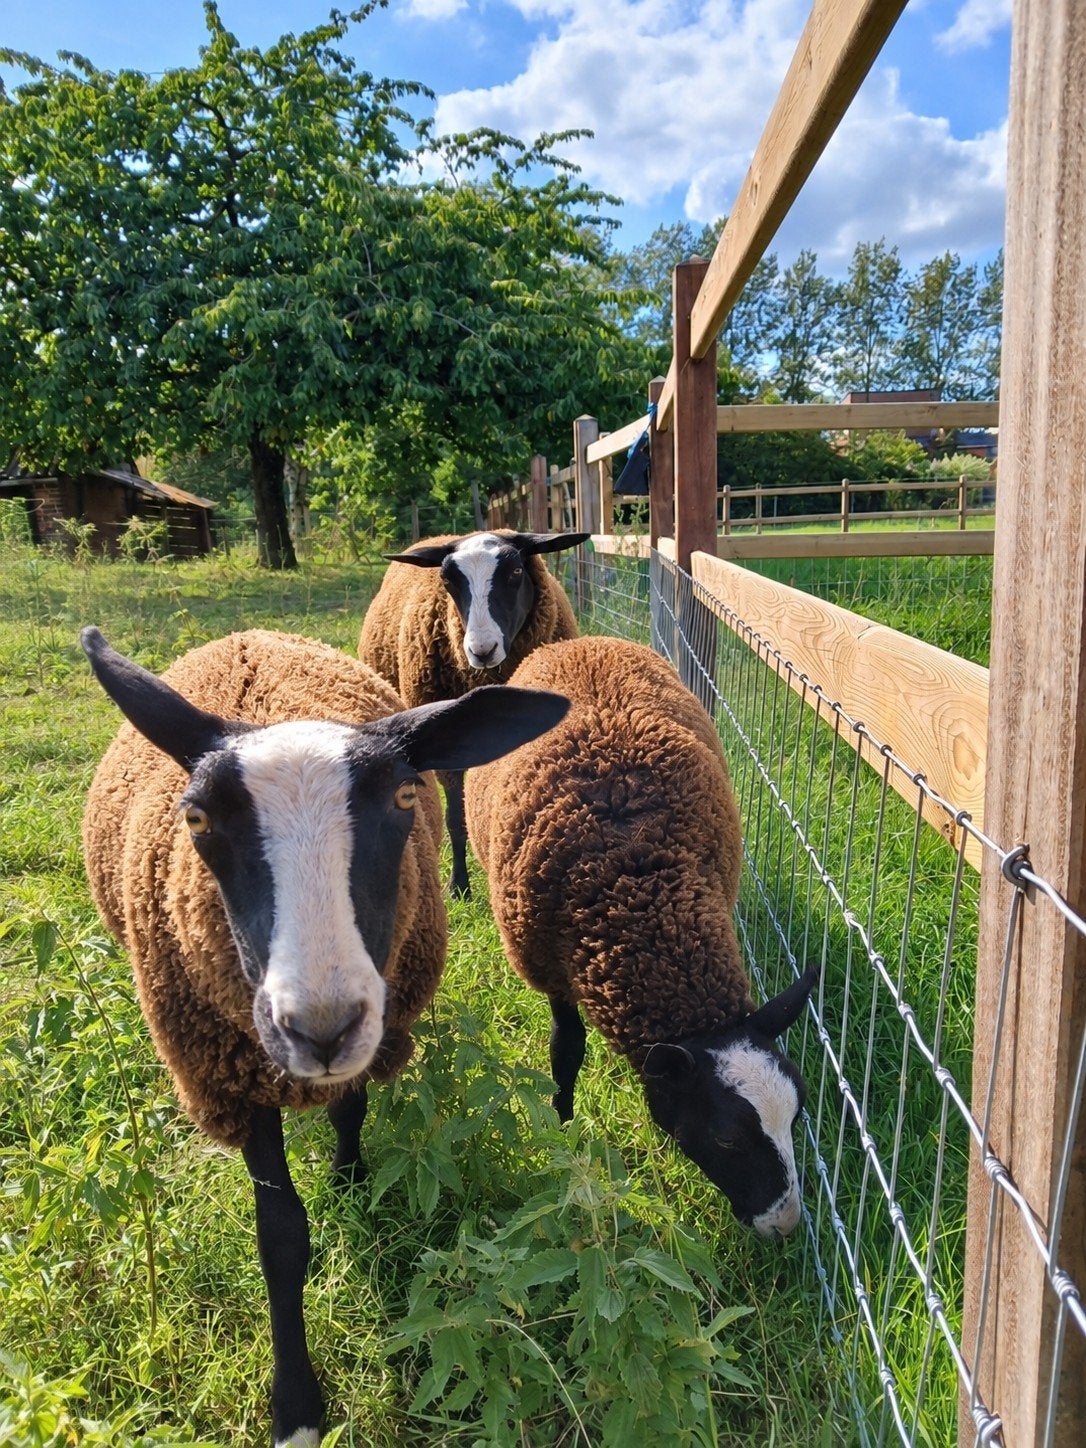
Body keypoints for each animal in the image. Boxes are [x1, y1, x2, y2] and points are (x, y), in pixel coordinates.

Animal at [79, 625, 568, 1448]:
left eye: (404, 796)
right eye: (196, 819)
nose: (323, 1028)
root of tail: (250, 638)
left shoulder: (371, 1039)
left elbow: (351, 1111)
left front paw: (349, 1181)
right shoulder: (234, 1074)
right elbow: (280, 1239)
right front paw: (297, 1407)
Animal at [465, 635, 817, 1239]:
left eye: (796, 1117)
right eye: (726, 1138)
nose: (785, 1225)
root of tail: (577, 641)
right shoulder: (552, 969)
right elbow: (565, 1052)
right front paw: (563, 1135)